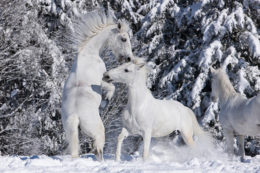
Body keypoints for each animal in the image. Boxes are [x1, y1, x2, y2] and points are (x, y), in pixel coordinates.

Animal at [61, 9, 133, 161]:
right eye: (124, 38)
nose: (129, 58)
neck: (88, 54)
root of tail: (75, 116)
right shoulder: (102, 80)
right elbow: (112, 87)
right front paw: (106, 100)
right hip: (98, 133)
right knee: (98, 151)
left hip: (72, 135)